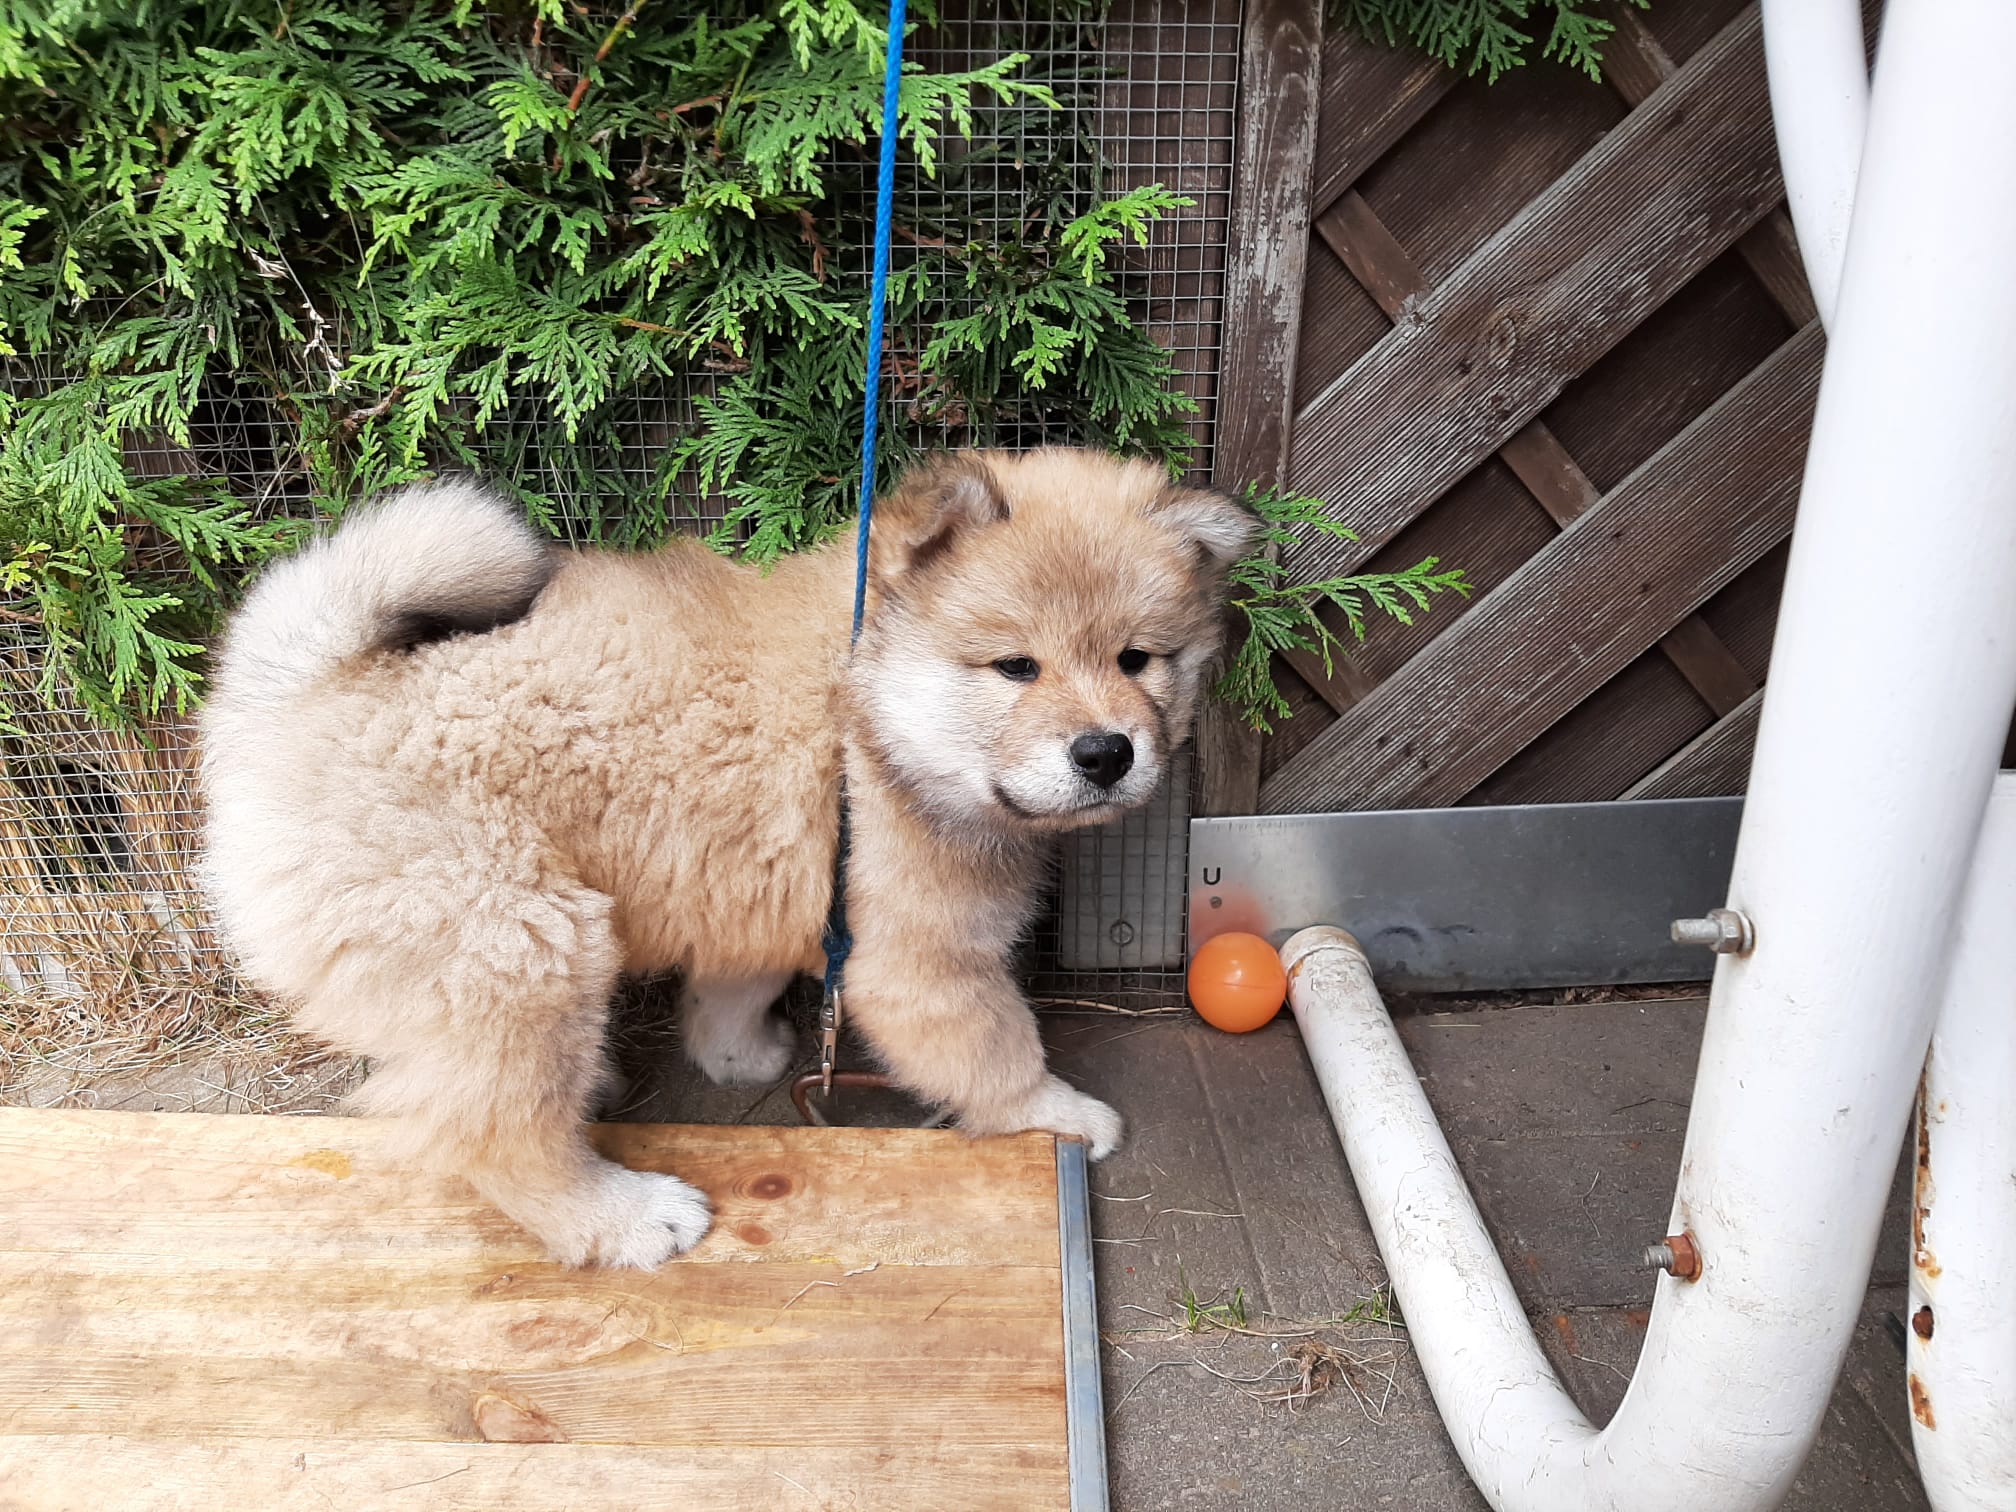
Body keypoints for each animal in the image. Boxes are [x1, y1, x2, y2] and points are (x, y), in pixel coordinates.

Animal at [200, 448, 1258, 1267]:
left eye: (1138, 660)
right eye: (1016, 668)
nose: (1106, 752)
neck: (862, 714)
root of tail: (300, 693)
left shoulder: (757, 886)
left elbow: (733, 988)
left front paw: (738, 1053)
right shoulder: (922, 957)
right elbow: (998, 1052)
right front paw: (1061, 1114)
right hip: (524, 947)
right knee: (496, 1134)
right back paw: (625, 1217)